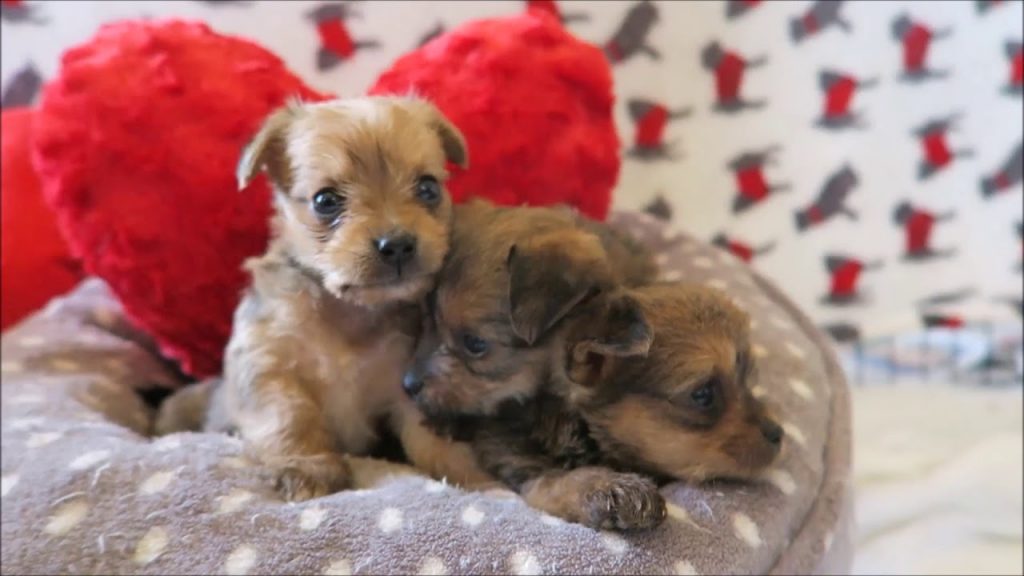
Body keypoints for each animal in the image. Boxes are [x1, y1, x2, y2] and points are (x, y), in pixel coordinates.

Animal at [164, 96, 491, 500]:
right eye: (325, 201)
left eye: (428, 188)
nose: (398, 244)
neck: (350, 312)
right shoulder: (269, 367)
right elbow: (290, 417)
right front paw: (308, 469)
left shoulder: (406, 383)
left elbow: (431, 439)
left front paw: (476, 478)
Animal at [403, 201, 778, 528]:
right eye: (703, 395)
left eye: (475, 344)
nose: (408, 384)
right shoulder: (521, 462)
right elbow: (560, 480)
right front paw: (611, 490)